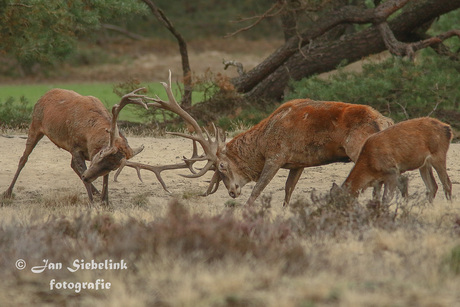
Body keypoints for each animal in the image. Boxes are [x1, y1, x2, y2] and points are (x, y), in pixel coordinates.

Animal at [3, 88, 151, 203]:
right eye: (100, 156)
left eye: (113, 167)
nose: (87, 176)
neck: (89, 135)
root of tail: (43, 95)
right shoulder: (75, 147)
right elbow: (82, 171)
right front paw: (92, 203)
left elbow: (105, 179)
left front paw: (105, 202)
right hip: (35, 124)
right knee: (23, 158)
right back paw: (8, 192)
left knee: (72, 166)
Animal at [127, 72, 394, 207]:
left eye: (222, 166)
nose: (232, 192)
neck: (263, 140)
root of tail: (385, 122)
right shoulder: (298, 162)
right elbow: (287, 192)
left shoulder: (276, 155)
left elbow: (257, 190)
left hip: (358, 147)